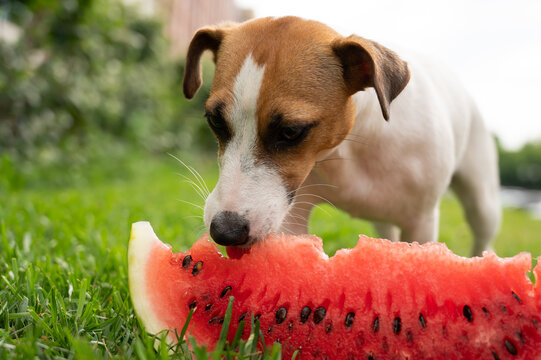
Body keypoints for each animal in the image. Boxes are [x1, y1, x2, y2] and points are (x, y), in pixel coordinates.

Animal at [182, 15, 502, 255]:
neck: (349, 148)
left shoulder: (422, 222)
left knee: (482, 234)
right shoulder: (291, 213)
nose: (225, 231)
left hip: (482, 201)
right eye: (215, 121)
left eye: (291, 131)